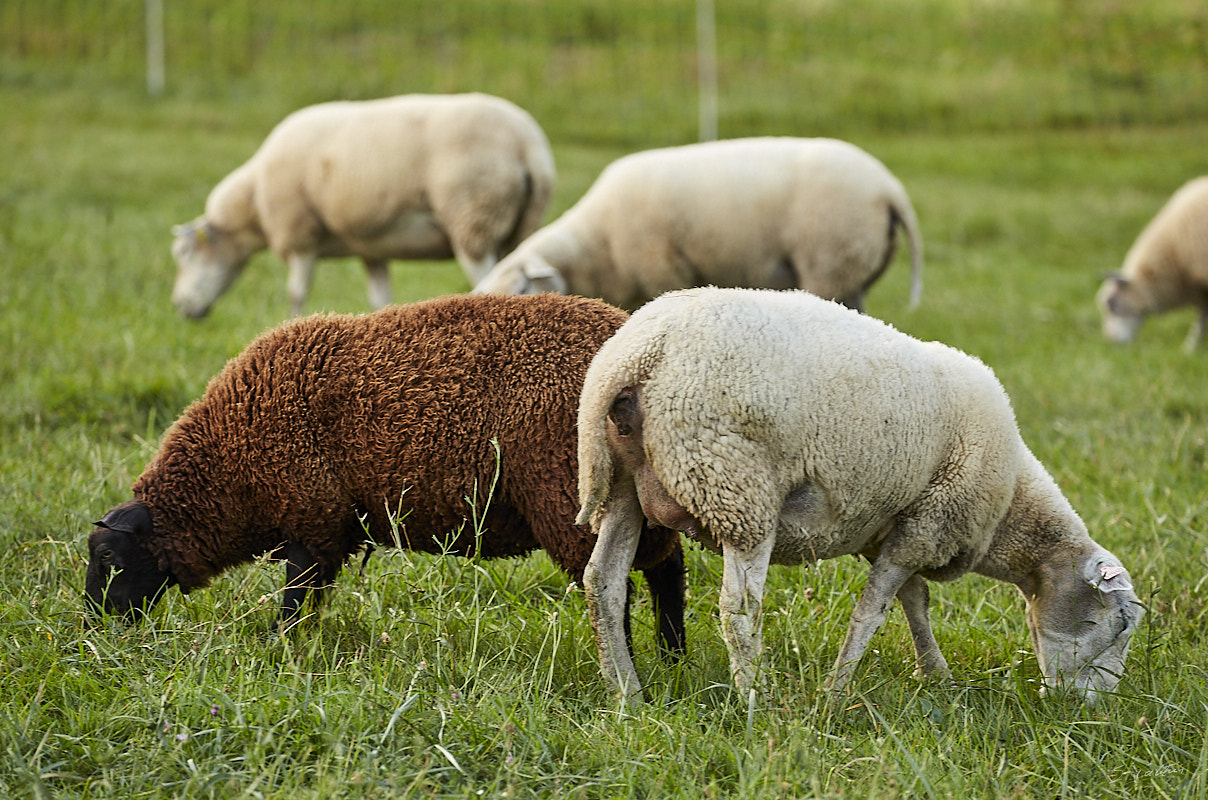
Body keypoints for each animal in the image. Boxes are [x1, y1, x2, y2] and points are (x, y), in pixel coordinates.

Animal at [85, 294, 686, 657]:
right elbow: (308, 601)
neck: (229, 465)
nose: (93, 630)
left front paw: (277, 650)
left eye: (109, 557)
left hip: (571, 495)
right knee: (666, 568)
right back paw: (672, 657)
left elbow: (293, 600)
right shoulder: (328, 531)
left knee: (615, 584)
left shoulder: (311, 519)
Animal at [171, 92, 555, 319]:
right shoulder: (373, 249)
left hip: (473, 218)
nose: (178, 306)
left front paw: (290, 324)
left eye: (184, 254)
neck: (254, 204)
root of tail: (528, 145)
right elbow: (380, 299)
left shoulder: (300, 234)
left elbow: (296, 292)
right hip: (519, 225)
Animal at [466, 137, 918, 314]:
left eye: (521, 290)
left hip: (829, 263)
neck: (598, 245)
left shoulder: (664, 272)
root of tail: (889, 188)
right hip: (850, 271)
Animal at [575, 288, 1140, 710]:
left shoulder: (898, 525)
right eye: (1120, 624)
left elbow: (915, 601)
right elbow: (873, 612)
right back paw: (756, 701)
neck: (1009, 514)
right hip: (735, 487)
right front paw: (836, 690)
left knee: (602, 582)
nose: (1088, 711)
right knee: (737, 609)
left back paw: (626, 693)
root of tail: (638, 352)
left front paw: (935, 674)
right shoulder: (926, 526)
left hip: (623, 480)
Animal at [1096, 178, 1208, 355]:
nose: (1111, 343)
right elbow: (1202, 314)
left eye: (1111, 304)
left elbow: (1201, 316)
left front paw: (1190, 346)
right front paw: (1191, 347)